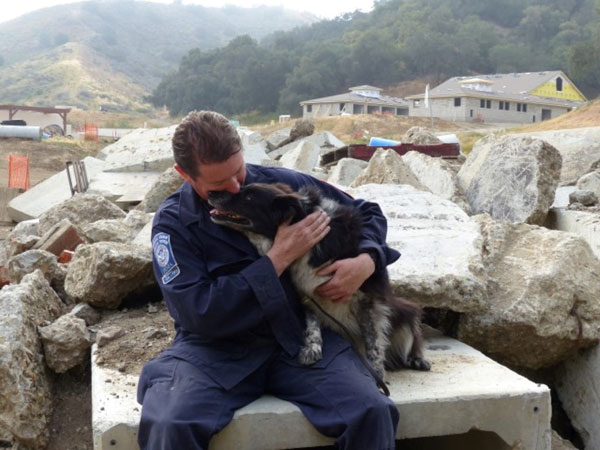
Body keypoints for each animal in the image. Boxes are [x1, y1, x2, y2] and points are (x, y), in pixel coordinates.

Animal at [207, 182, 432, 380]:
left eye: (248, 197)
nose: (210, 193)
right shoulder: (306, 293)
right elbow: (312, 323)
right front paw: (311, 348)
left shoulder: (367, 300)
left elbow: (373, 340)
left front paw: (376, 372)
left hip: (405, 312)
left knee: (412, 337)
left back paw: (417, 360)